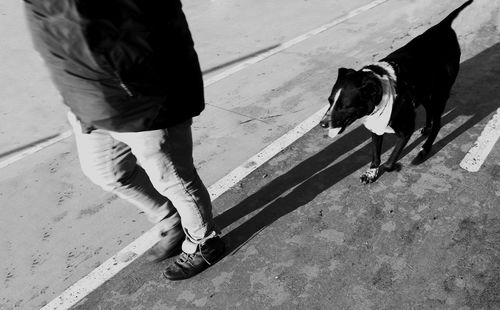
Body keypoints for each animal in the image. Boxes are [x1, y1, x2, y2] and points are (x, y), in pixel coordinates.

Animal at [320, 0, 472, 183]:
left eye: (344, 106)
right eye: (330, 101)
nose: (322, 124)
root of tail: (443, 27)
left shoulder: (406, 130)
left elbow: (389, 162)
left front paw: (392, 167)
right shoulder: (376, 125)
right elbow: (376, 155)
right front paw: (371, 173)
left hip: (440, 93)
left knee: (438, 123)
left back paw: (424, 149)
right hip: (425, 91)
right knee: (429, 111)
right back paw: (427, 128)